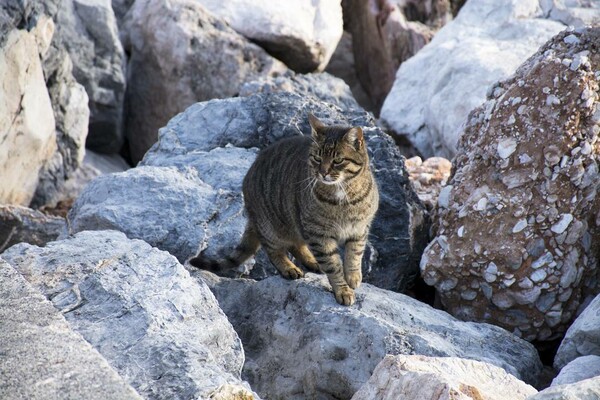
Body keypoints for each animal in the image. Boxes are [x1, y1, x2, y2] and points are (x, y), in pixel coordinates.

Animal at [191, 113, 380, 306]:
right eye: (317, 158)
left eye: (338, 160)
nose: (323, 172)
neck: (344, 195)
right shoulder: (318, 234)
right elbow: (333, 265)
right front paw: (342, 290)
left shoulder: (359, 229)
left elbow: (355, 254)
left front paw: (353, 277)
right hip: (271, 226)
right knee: (274, 250)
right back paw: (289, 268)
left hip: (294, 222)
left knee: (296, 244)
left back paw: (312, 262)